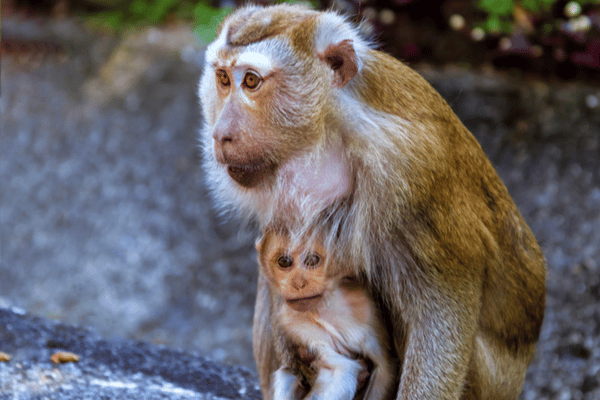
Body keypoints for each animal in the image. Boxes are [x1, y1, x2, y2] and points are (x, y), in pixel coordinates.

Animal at [255, 231, 396, 400]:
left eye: (312, 260)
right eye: (284, 261)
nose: (298, 284)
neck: (324, 307)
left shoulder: (366, 308)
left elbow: (384, 369)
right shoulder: (291, 321)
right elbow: (340, 369)